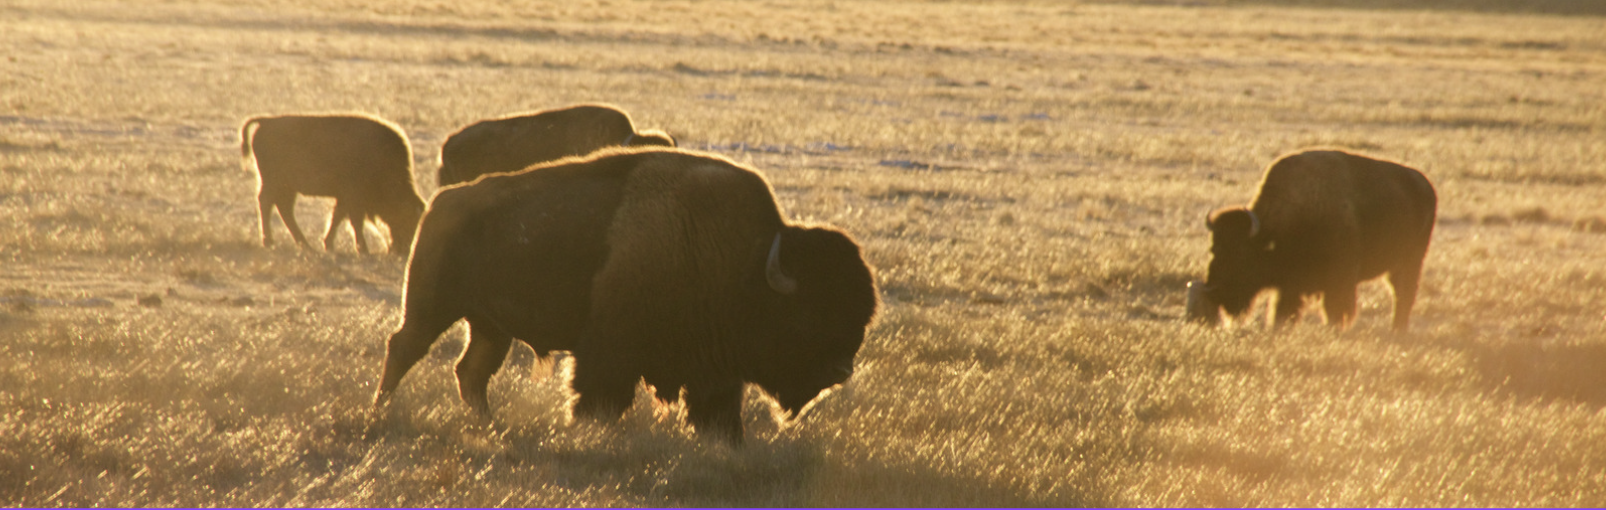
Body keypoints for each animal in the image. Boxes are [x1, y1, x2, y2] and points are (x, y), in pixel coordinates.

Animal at [241, 113, 425, 255]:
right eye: (408, 220)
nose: (403, 251)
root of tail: (266, 121)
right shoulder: (353, 197)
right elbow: (354, 221)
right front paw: (363, 249)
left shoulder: (345, 197)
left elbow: (338, 217)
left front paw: (328, 244)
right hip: (274, 183)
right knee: (267, 204)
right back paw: (270, 242)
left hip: (286, 187)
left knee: (283, 209)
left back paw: (304, 245)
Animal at [375, 147, 879, 443]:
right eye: (809, 313)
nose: (841, 370)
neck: (746, 265)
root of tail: (442, 202)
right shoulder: (608, 351)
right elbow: (599, 397)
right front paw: (584, 429)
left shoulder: (716, 369)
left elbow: (716, 411)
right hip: (432, 307)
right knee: (404, 348)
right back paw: (381, 410)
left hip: (491, 327)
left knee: (471, 372)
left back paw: (490, 425)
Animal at [1190, 149, 1437, 331]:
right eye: (1214, 248)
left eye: (1240, 252)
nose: (1213, 291)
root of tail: (1425, 186)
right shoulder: (1289, 285)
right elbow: (1283, 309)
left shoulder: (1340, 278)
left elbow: (1335, 308)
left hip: (1410, 261)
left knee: (1403, 293)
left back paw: (1398, 329)